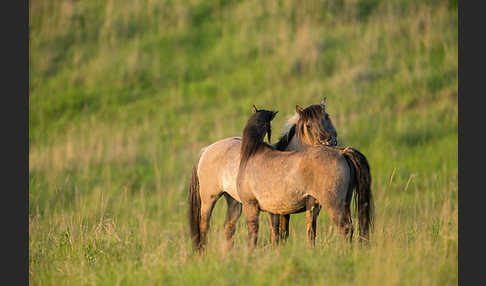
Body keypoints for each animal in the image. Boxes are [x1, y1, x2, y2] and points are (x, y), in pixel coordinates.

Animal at [188, 99, 336, 251]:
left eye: (327, 116)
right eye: (308, 125)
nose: (328, 141)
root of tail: (206, 150)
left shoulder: (310, 207)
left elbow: (307, 232)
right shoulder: (276, 211)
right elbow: (278, 233)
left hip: (233, 201)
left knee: (229, 226)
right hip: (209, 199)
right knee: (204, 226)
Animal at [237, 106, 374, 249]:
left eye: (327, 117)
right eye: (308, 125)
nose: (329, 140)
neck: (252, 153)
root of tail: (342, 153)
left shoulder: (251, 206)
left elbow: (256, 235)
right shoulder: (277, 211)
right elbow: (280, 234)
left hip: (333, 205)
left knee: (346, 228)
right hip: (345, 203)